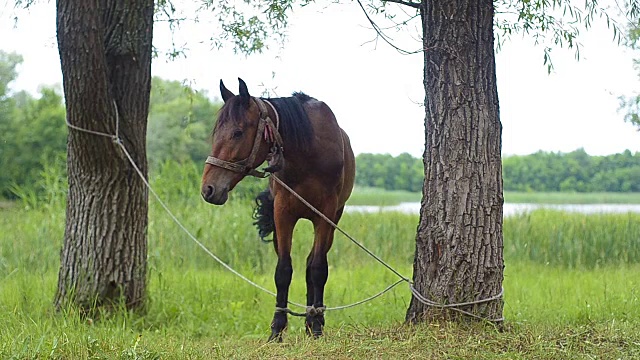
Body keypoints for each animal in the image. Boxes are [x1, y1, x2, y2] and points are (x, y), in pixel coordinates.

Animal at [201, 77, 356, 342]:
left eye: (237, 132)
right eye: (215, 132)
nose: (208, 189)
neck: (308, 153)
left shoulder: (326, 214)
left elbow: (318, 269)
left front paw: (316, 327)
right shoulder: (283, 213)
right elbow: (283, 270)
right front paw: (277, 328)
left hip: (333, 220)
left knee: (313, 263)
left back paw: (314, 317)